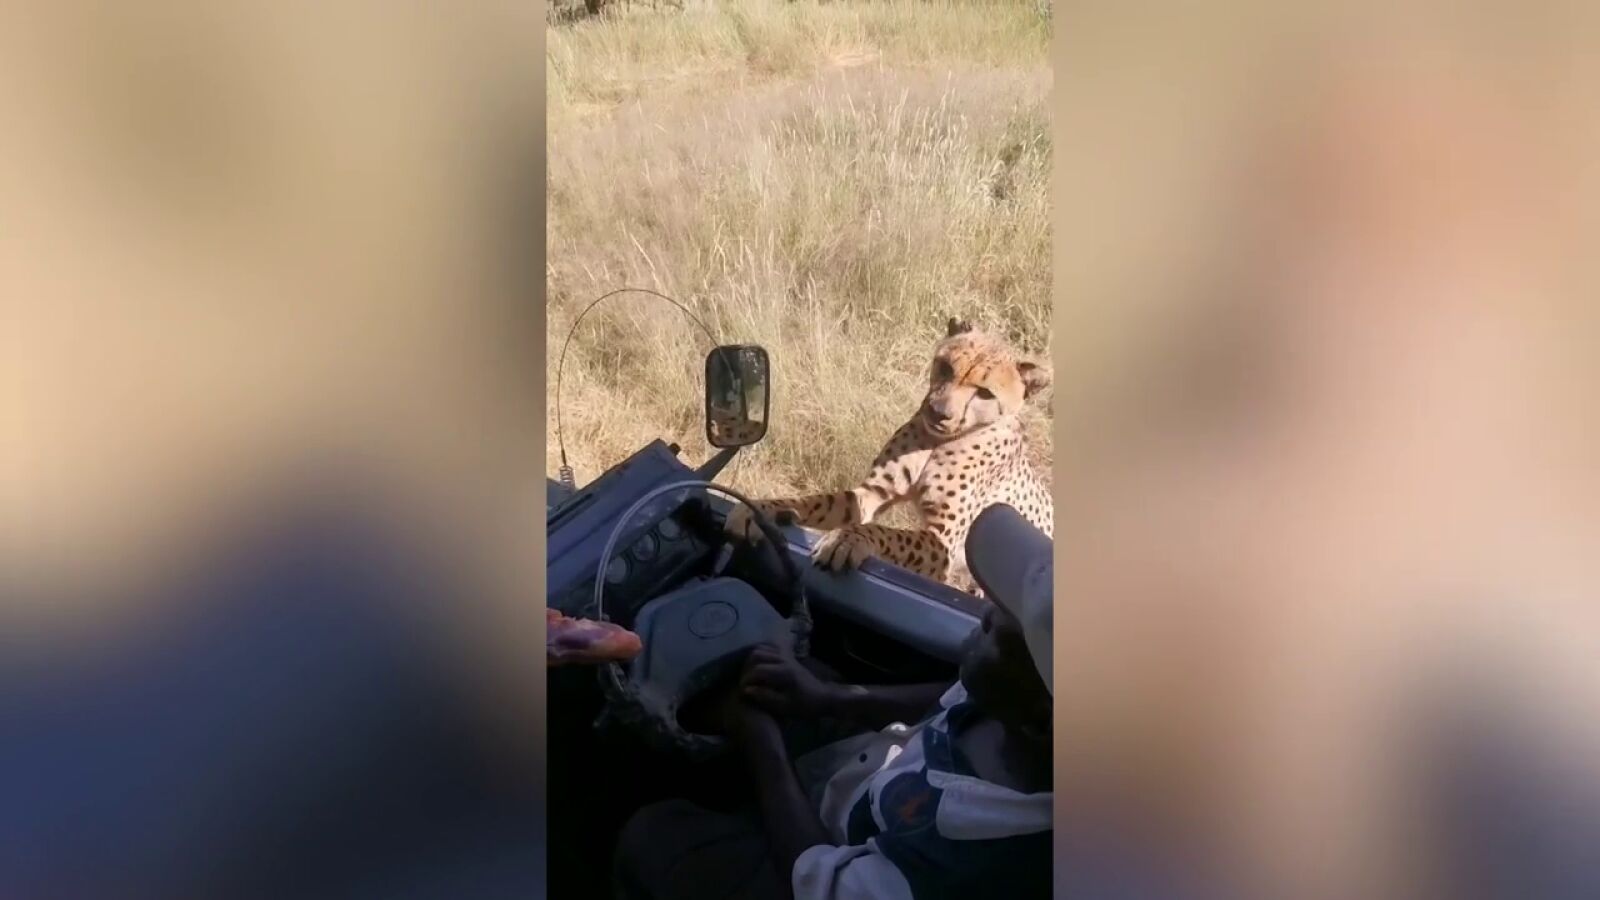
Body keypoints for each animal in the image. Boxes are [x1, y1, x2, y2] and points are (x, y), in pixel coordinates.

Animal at [724, 317, 1052, 594]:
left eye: (985, 393)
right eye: (946, 367)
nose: (938, 412)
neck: (938, 441)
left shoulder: (944, 540)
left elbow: (887, 532)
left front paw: (847, 539)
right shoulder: (869, 494)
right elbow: (814, 501)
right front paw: (758, 509)